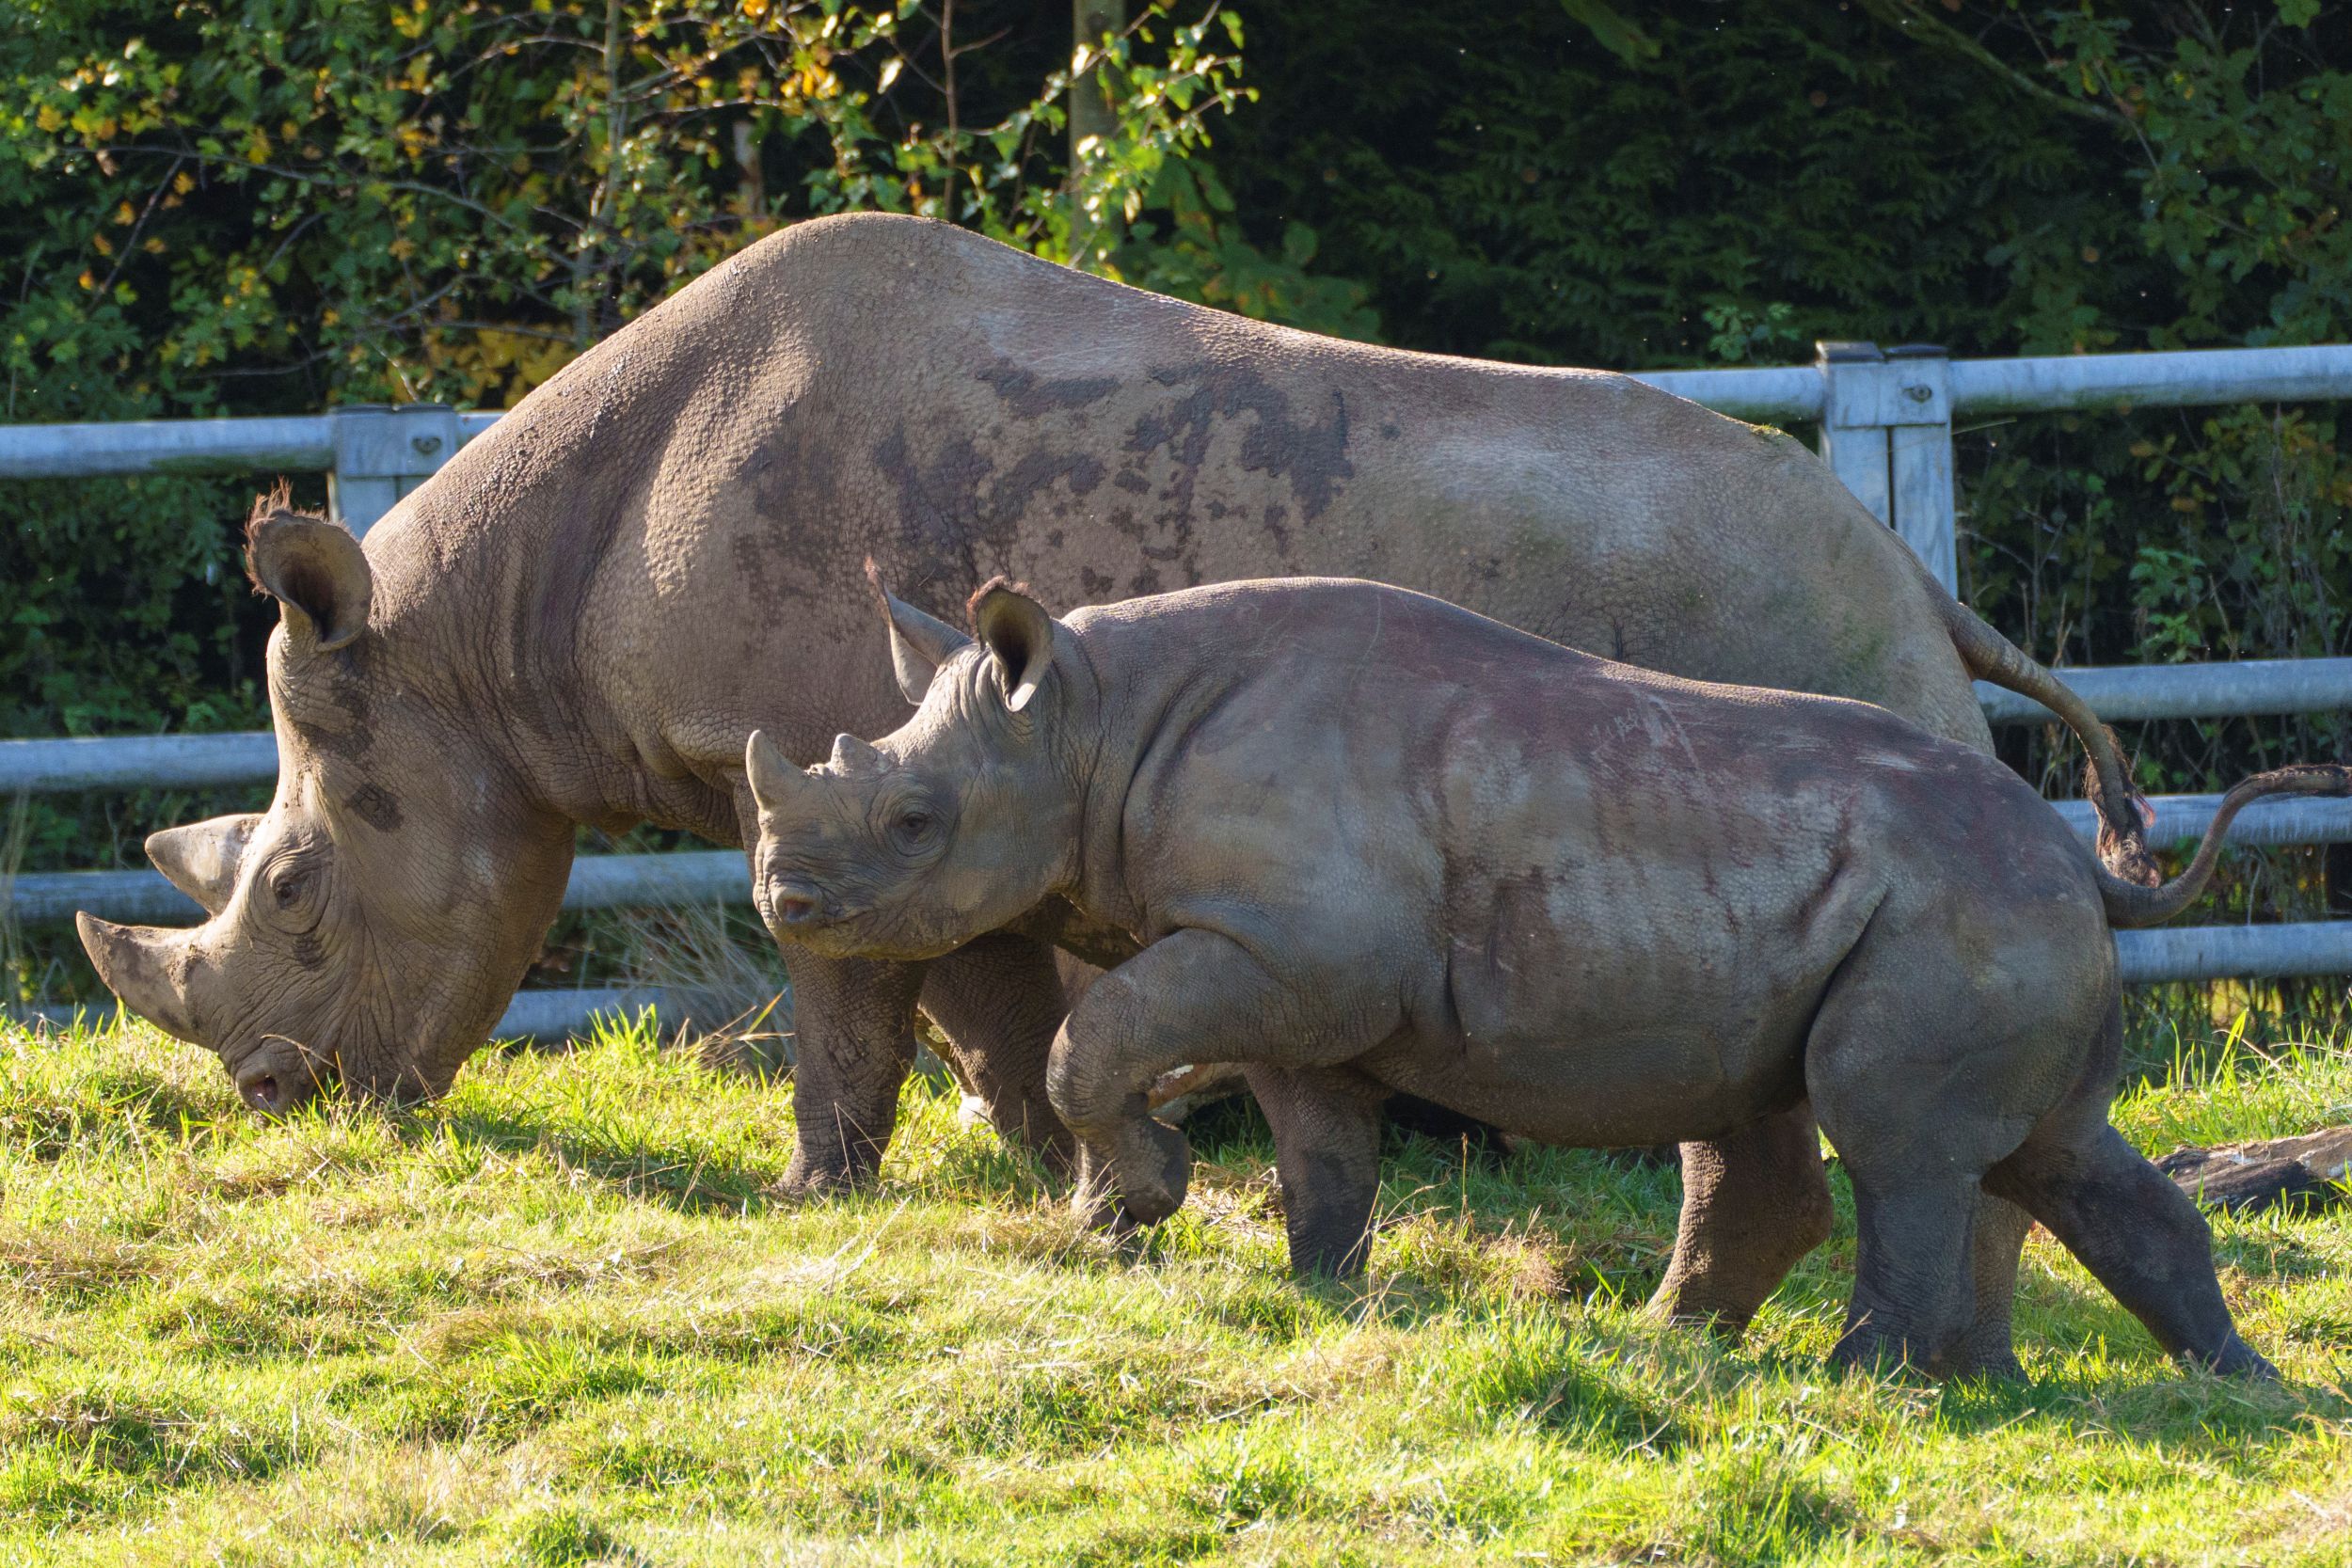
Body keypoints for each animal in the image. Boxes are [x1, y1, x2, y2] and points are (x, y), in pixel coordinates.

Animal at [79, 212, 2149, 1372]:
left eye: (296, 892)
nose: (276, 1102)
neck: (478, 642)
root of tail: (1920, 583)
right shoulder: (940, 790)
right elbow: (990, 1011)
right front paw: (1070, 1182)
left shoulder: (838, 778)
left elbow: (855, 1005)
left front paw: (819, 1192)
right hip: (1812, 642)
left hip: (1804, 626)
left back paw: (1935, 1352)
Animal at [744, 575, 2340, 1376]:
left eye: (912, 820)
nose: (783, 898)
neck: (1088, 722)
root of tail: (2089, 866)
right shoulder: (1301, 977)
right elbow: (1318, 1137)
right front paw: (1316, 1289)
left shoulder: (1288, 947)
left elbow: (1104, 1037)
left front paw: (1128, 1205)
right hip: (1974, 907)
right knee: (2038, 1144)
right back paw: (2229, 1387)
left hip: (1961, 904)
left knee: (1896, 1135)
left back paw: (1860, 1377)